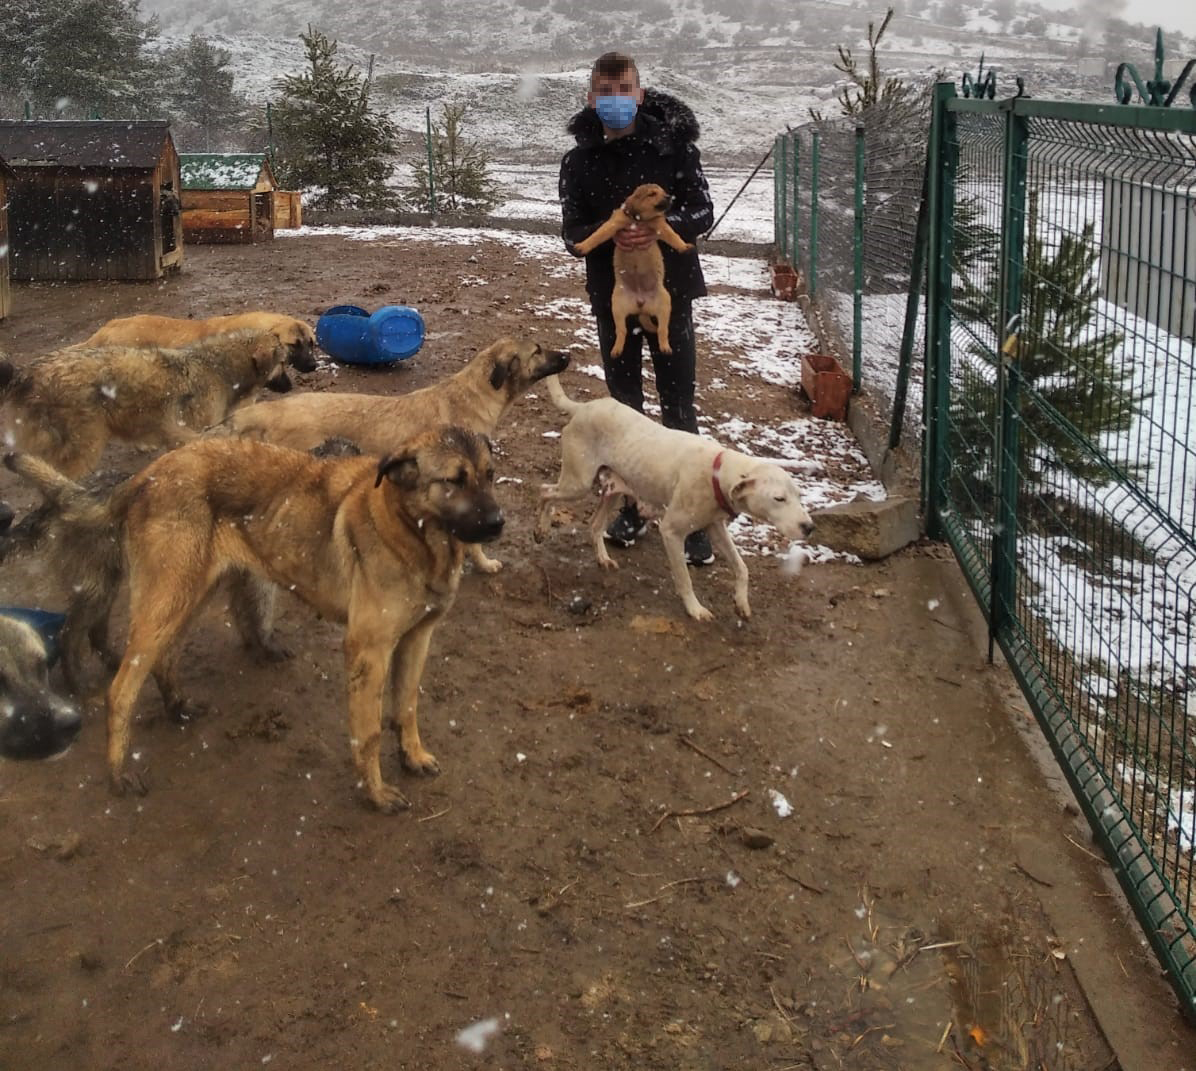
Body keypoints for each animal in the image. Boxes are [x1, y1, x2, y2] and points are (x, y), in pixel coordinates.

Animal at [0, 325, 315, 478]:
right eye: (283, 363)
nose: (291, 386)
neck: (220, 368)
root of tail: (29, 373)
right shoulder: (195, 430)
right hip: (86, 442)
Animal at [4, 426, 502, 813]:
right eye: (453, 481)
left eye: (490, 475)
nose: (498, 524)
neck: (412, 530)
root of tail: (144, 476)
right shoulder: (368, 650)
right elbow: (369, 731)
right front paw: (375, 794)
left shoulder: (418, 638)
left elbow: (407, 707)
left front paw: (414, 756)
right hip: (167, 598)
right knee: (121, 688)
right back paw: (118, 772)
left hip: (188, 594)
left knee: (165, 656)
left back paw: (177, 706)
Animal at [538, 375, 818, 622]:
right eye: (779, 499)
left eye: (798, 496)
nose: (810, 527)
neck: (717, 472)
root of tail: (585, 407)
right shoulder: (671, 532)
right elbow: (684, 578)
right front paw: (695, 610)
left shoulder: (715, 527)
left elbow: (742, 568)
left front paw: (741, 602)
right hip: (578, 484)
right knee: (545, 491)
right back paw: (541, 529)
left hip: (613, 489)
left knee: (594, 525)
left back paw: (602, 558)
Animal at [574, 180, 698, 356]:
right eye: (652, 194)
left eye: (663, 191)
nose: (669, 197)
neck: (639, 219)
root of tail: (641, 305)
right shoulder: (613, 224)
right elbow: (596, 235)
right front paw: (582, 246)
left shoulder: (660, 226)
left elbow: (674, 236)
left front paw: (685, 247)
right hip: (617, 306)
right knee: (622, 331)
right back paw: (617, 349)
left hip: (665, 303)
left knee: (662, 329)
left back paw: (665, 347)